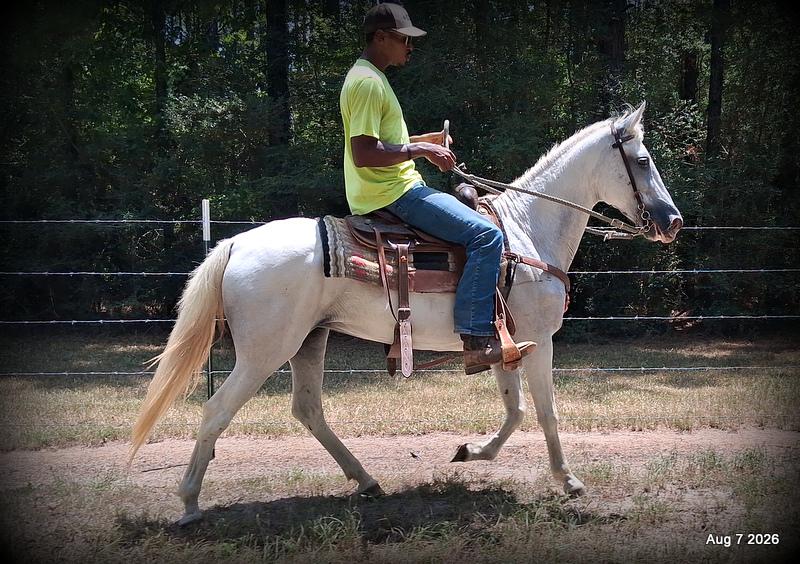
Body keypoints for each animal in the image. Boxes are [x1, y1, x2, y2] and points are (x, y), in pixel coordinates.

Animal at [130, 102, 683, 525]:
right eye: (642, 159)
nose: (672, 220)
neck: (527, 231)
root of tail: (235, 244)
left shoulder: (504, 344)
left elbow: (516, 410)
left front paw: (471, 453)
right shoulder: (539, 340)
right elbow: (544, 411)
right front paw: (568, 480)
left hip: (309, 341)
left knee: (308, 410)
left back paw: (366, 480)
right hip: (264, 352)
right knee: (216, 411)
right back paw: (189, 503)